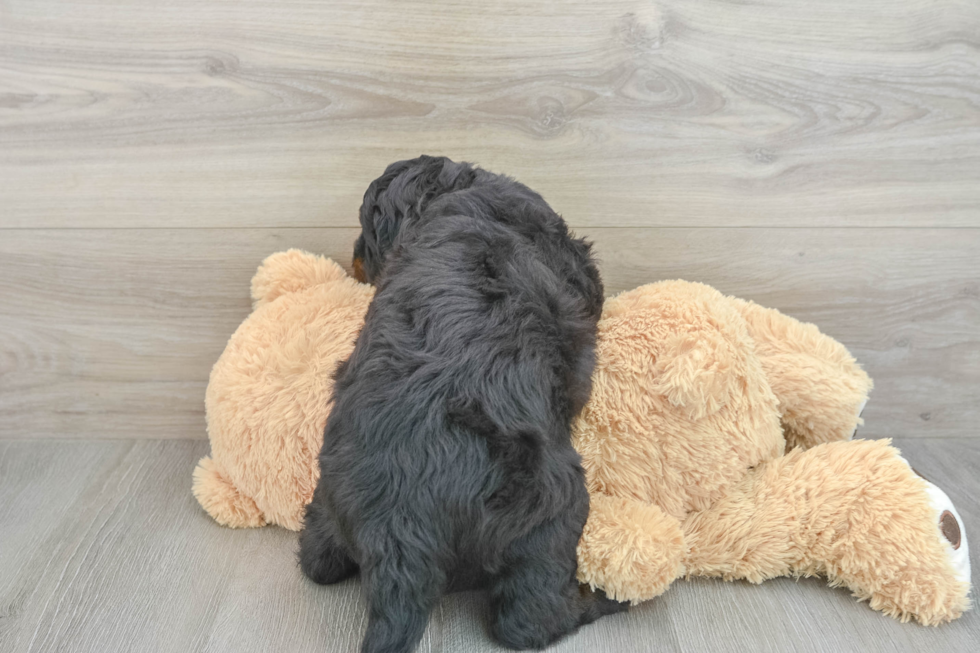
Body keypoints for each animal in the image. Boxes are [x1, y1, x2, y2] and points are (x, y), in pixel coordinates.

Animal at [298, 155, 624, 648]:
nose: (351, 255)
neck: (450, 194)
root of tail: (400, 537)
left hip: (328, 505)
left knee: (318, 561)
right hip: (551, 514)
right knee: (526, 620)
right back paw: (603, 599)